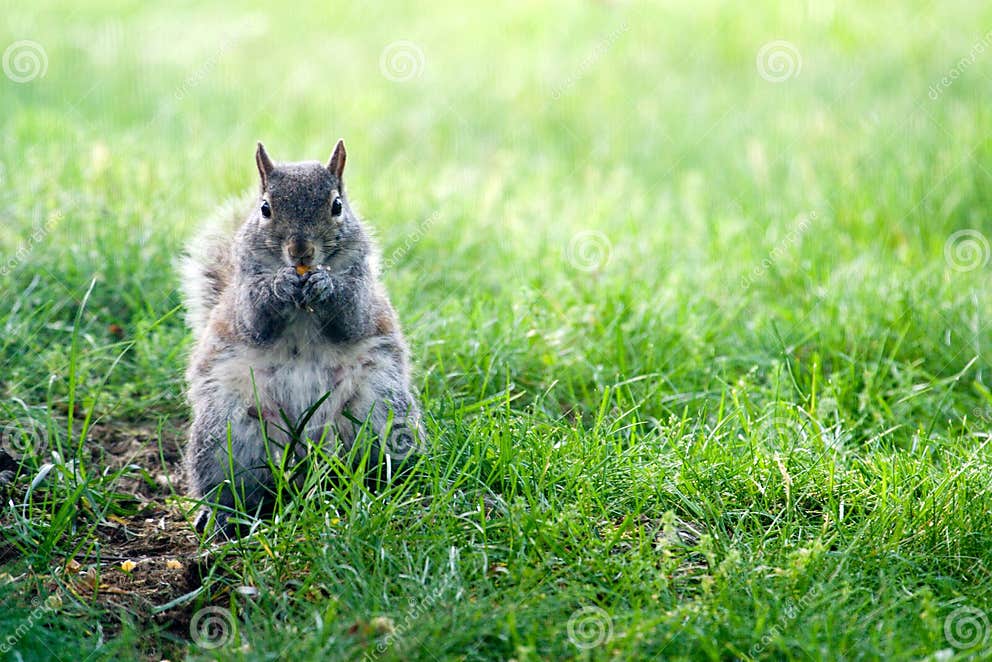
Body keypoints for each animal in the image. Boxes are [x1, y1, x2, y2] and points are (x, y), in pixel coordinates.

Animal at [179, 140, 425, 534]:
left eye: (336, 205)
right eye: (265, 208)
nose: (300, 251)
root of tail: (303, 453)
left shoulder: (361, 286)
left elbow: (353, 317)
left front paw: (326, 285)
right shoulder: (243, 292)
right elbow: (254, 319)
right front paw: (279, 286)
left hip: (381, 412)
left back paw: (394, 493)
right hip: (224, 435)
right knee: (231, 485)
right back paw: (221, 516)